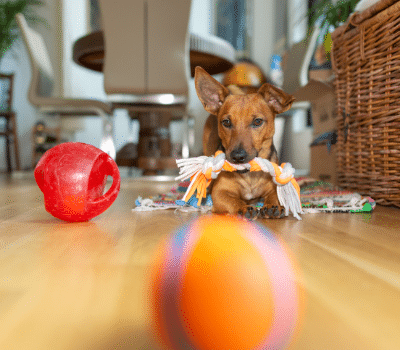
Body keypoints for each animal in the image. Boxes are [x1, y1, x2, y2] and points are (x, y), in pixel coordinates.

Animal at [194, 66, 294, 219]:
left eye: (257, 121)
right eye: (226, 122)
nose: (237, 156)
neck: (248, 175)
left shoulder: (275, 186)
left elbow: (275, 195)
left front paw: (273, 205)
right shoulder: (221, 193)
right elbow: (233, 201)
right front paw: (243, 207)